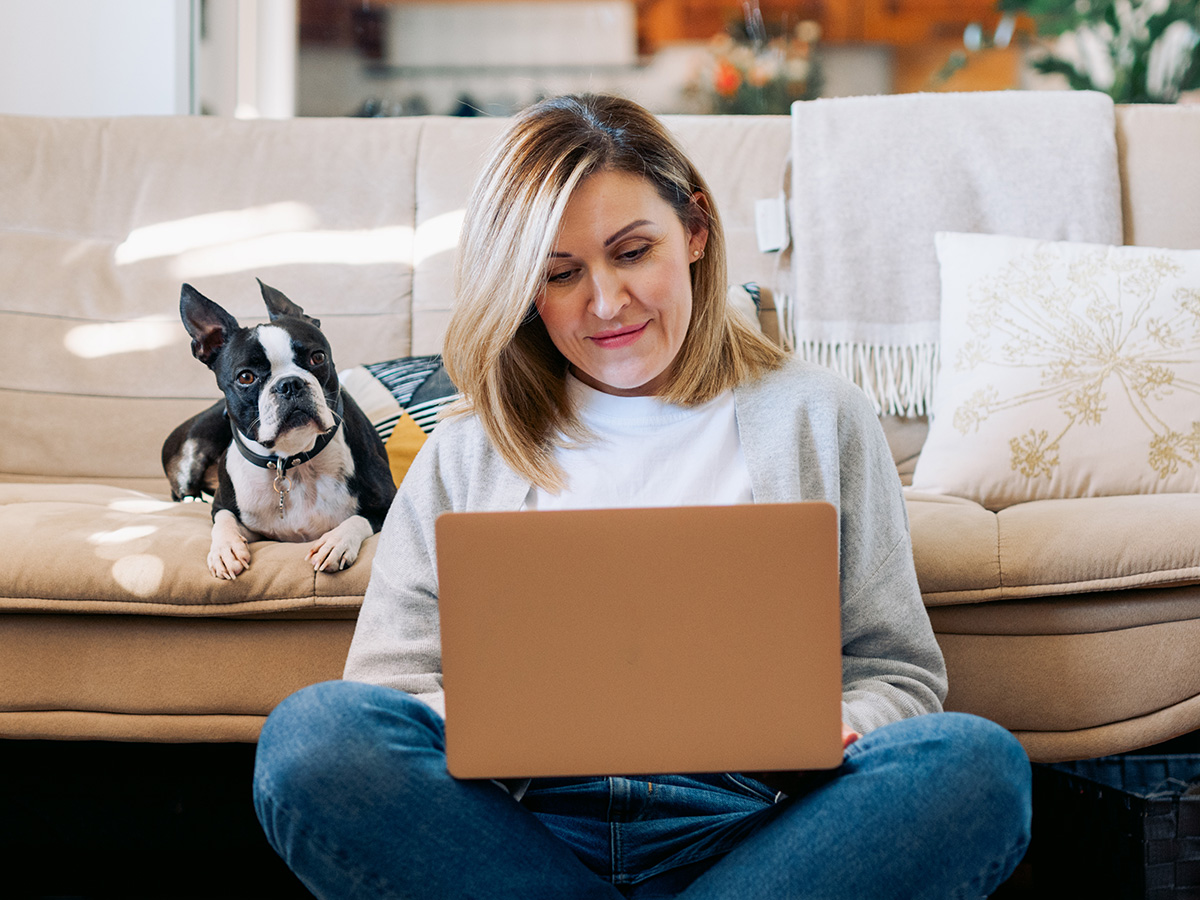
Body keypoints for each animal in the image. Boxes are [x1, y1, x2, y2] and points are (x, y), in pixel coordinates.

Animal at [164, 278, 396, 580]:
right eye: (246, 377)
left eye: (318, 357)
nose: (290, 384)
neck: (292, 461)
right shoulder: (226, 508)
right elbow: (223, 519)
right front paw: (225, 550)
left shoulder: (389, 501)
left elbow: (359, 518)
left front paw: (335, 543)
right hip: (192, 448)